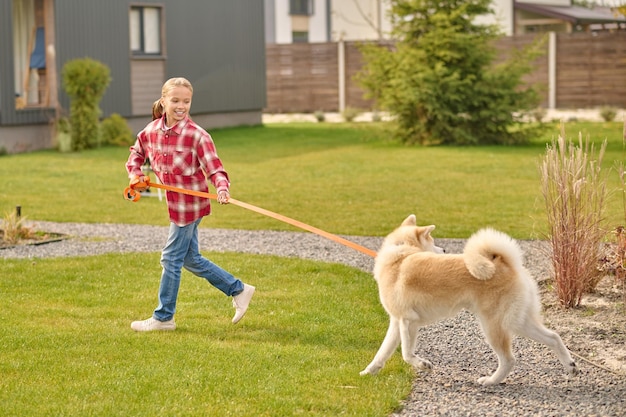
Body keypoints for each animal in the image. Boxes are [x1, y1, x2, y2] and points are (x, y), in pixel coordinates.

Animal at [358, 214, 576, 384]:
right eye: (433, 241)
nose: (444, 251)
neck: (400, 255)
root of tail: (509, 265)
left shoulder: (407, 321)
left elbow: (406, 354)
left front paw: (423, 364)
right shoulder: (397, 322)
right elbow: (382, 353)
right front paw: (367, 372)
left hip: (493, 325)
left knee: (508, 359)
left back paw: (491, 381)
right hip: (518, 321)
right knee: (553, 337)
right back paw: (570, 365)